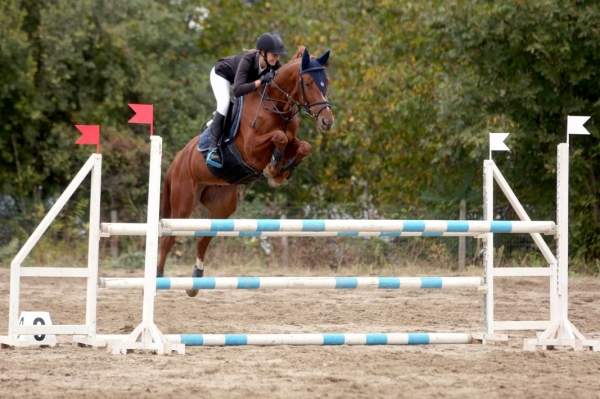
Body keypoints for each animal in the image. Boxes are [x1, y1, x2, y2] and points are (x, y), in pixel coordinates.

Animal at [157, 47, 336, 296]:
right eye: (308, 83)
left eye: (325, 82)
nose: (327, 121)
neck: (276, 105)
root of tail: (176, 161)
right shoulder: (251, 148)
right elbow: (279, 137)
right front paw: (273, 168)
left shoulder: (293, 140)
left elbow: (302, 146)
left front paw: (280, 171)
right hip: (183, 204)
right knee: (169, 238)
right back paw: (158, 277)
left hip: (223, 204)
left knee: (204, 237)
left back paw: (195, 280)